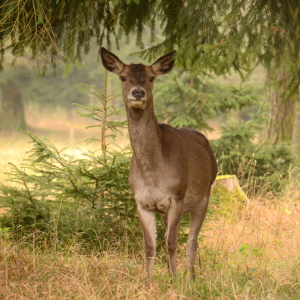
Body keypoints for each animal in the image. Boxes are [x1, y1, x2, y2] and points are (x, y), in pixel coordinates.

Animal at [101, 47, 218, 278]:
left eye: (151, 78)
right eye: (123, 77)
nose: (138, 93)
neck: (152, 172)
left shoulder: (177, 197)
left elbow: (172, 243)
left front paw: (174, 280)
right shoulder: (142, 202)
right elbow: (150, 246)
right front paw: (149, 281)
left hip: (204, 196)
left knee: (192, 241)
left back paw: (191, 279)